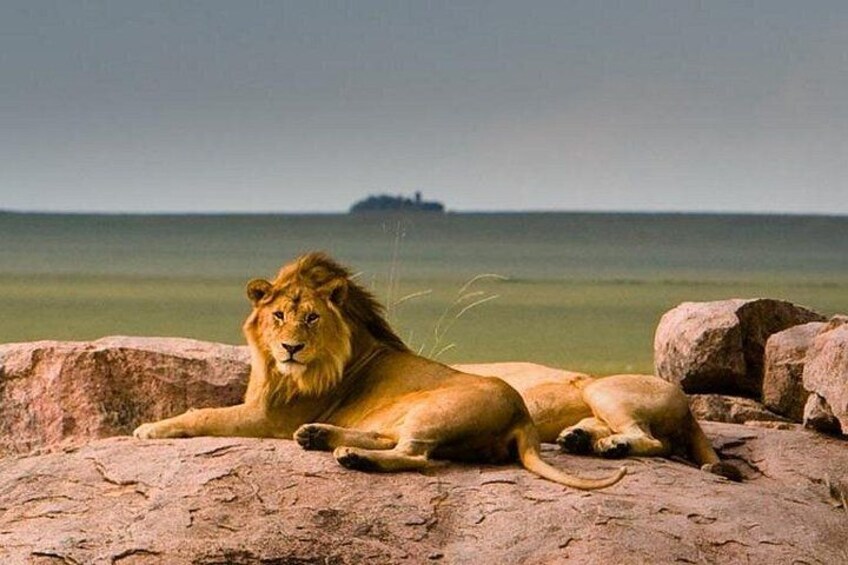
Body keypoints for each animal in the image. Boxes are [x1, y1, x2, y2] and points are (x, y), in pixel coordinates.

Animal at [133, 252, 626, 490]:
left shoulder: (267, 417)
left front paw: (149, 429)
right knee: (393, 440)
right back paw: (319, 436)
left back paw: (352, 457)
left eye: (311, 318)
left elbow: (203, 413)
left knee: (416, 455)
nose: (291, 347)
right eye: (278, 316)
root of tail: (523, 417)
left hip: (435, 409)